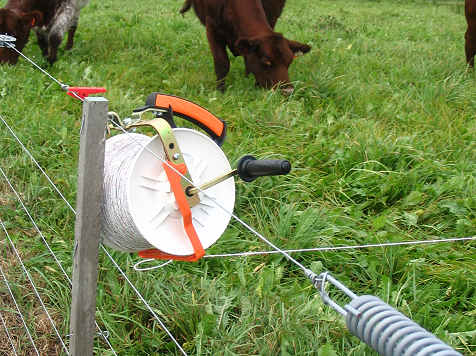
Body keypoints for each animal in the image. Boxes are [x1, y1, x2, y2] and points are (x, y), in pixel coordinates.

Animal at [180, 0, 310, 93]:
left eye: (290, 61)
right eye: (266, 60)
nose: (288, 90)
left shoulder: (271, 19)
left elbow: (249, 62)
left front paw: (255, 85)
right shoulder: (212, 27)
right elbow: (222, 63)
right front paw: (220, 90)